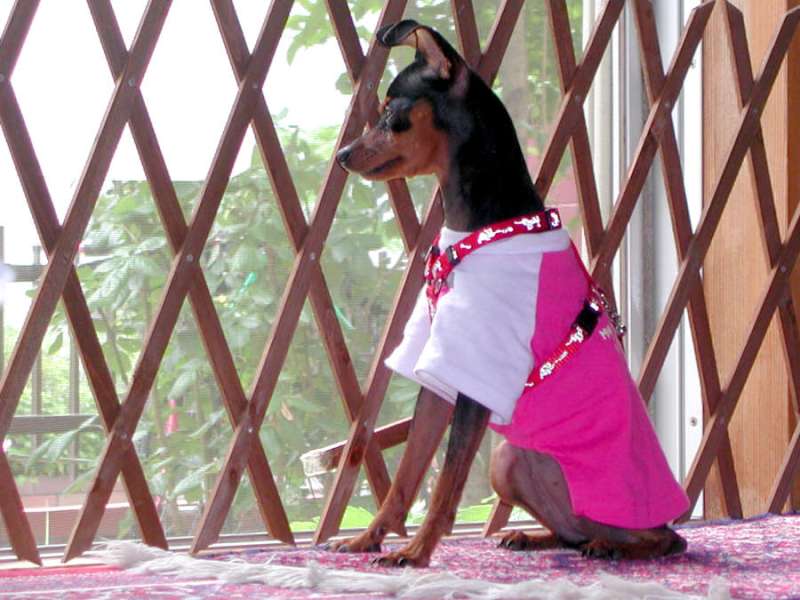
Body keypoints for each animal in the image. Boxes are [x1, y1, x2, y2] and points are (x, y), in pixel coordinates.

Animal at [331, 20, 689, 568]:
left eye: (392, 115)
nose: (343, 155)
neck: (478, 228)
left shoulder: (475, 380)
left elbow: (446, 483)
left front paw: (416, 551)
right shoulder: (439, 373)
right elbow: (407, 475)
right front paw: (369, 538)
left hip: (618, 502)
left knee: (667, 539)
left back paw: (617, 546)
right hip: (509, 458)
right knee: (570, 532)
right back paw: (534, 536)